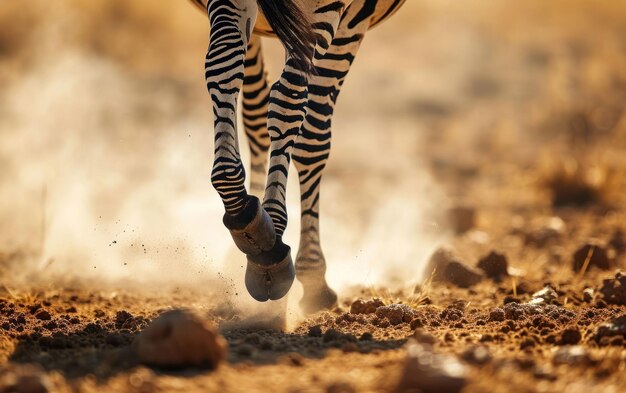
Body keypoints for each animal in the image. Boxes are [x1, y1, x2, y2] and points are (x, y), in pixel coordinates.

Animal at [194, 0, 404, 312]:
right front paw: (314, 277)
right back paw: (270, 248)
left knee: (224, 65)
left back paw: (246, 217)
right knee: (288, 98)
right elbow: (310, 137)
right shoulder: (353, 19)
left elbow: (252, 110)